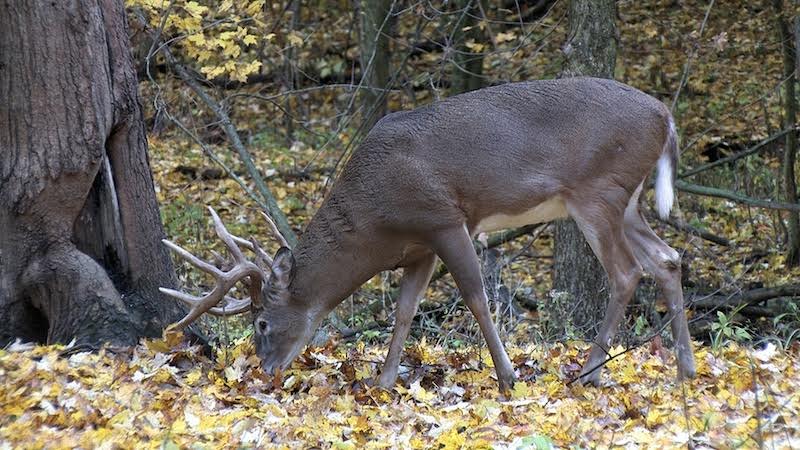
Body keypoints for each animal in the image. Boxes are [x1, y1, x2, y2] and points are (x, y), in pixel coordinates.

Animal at [161, 77, 692, 390]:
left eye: (261, 324)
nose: (264, 371)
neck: (377, 217)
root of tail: (666, 117)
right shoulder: (417, 247)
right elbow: (404, 310)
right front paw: (383, 382)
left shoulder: (444, 218)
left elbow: (476, 297)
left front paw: (507, 378)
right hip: (627, 199)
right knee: (667, 259)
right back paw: (685, 368)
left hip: (597, 190)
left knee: (626, 272)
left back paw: (587, 374)